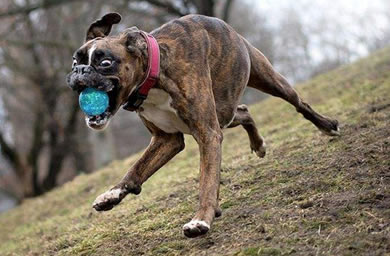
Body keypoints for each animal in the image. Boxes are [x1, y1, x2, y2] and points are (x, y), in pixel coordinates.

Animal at [66, 12, 338, 238]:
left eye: (105, 63)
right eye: (75, 61)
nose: (80, 70)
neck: (155, 76)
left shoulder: (207, 133)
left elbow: (206, 180)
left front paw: (201, 219)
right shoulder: (167, 139)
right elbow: (137, 169)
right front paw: (112, 195)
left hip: (268, 81)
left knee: (299, 103)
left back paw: (327, 125)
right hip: (224, 112)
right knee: (244, 111)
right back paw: (258, 144)